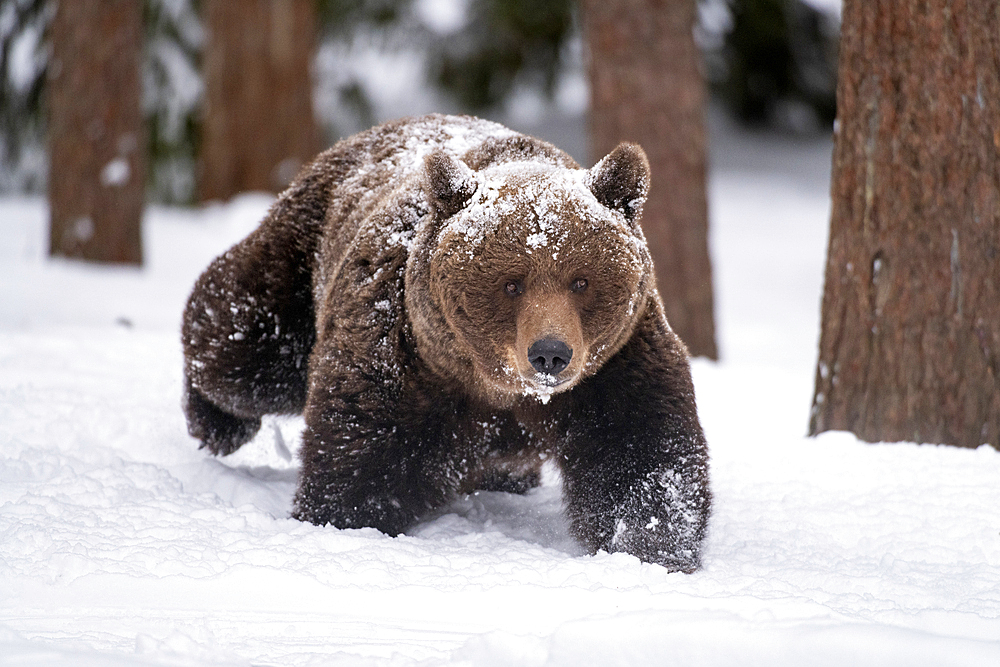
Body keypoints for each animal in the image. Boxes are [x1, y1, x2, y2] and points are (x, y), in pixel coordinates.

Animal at [180, 112, 712, 572]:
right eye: (512, 283)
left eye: (581, 280)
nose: (550, 354)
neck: (494, 386)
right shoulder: (402, 358)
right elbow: (361, 457)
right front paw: (340, 517)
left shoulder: (614, 364)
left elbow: (641, 455)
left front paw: (650, 548)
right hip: (301, 261)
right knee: (242, 346)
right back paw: (215, 420)